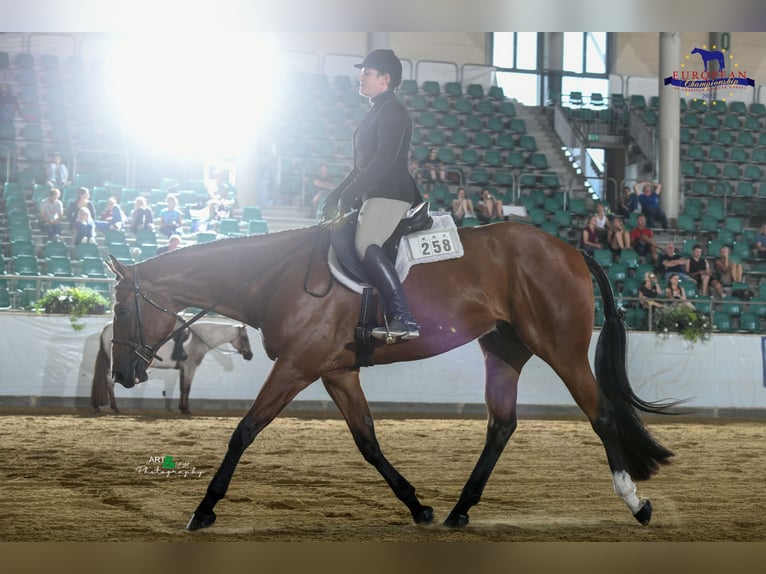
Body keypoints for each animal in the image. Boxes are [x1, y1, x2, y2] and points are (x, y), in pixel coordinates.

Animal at [94, 324, 252, 414]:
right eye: (245, 337)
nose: (249, 355)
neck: (198, 339)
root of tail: (106, 329)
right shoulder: (190, 367)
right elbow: (187, 388)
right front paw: (186, 410)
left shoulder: (183, 369)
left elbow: (182, 388)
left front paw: (181, 408)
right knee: (110, 381)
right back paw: (114, 407)